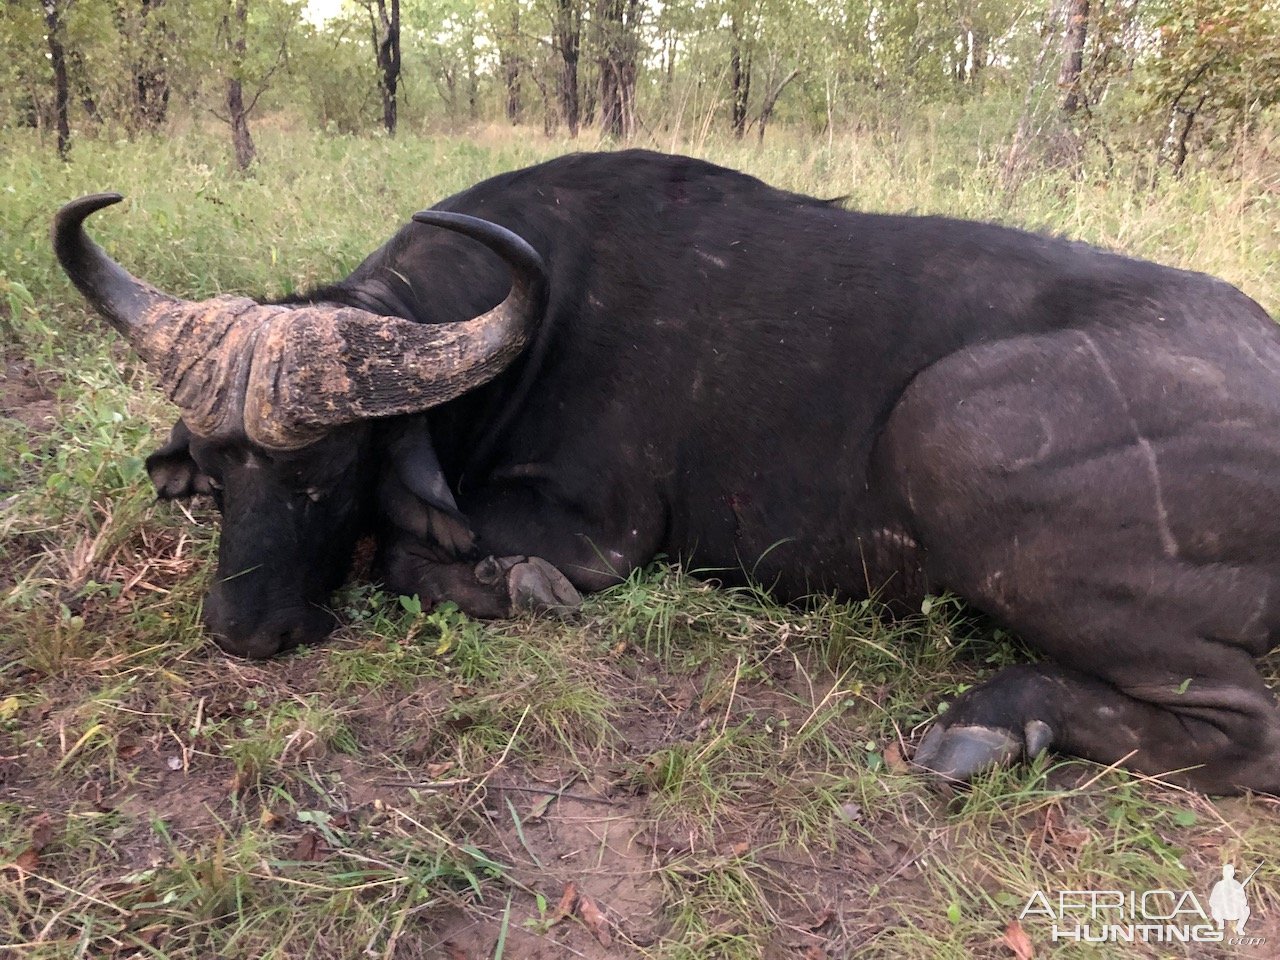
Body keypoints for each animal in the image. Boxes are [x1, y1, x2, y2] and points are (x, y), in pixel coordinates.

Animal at [55, 150, 1280, 798]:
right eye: (218, 470)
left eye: (325, 467)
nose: (241, 631)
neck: (534, 324)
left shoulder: (601, 532)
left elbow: (411, 555)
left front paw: (513, 585)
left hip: (951, 427)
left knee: (1245, 729)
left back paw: (990, 722)